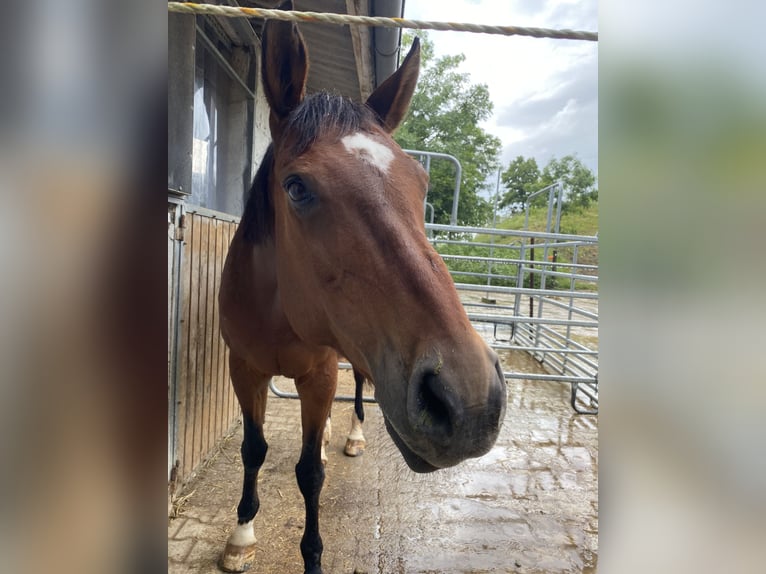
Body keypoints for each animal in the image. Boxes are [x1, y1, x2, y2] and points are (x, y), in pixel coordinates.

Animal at [216, 9, 508, 574]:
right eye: (297, 187)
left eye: (420, 184)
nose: (470, 400)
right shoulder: (244, 368)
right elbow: (253, 449)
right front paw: (240, 534)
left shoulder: (321, 372)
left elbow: (310, 473)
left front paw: (311, 555)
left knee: (355, 391)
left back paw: (346, 436)